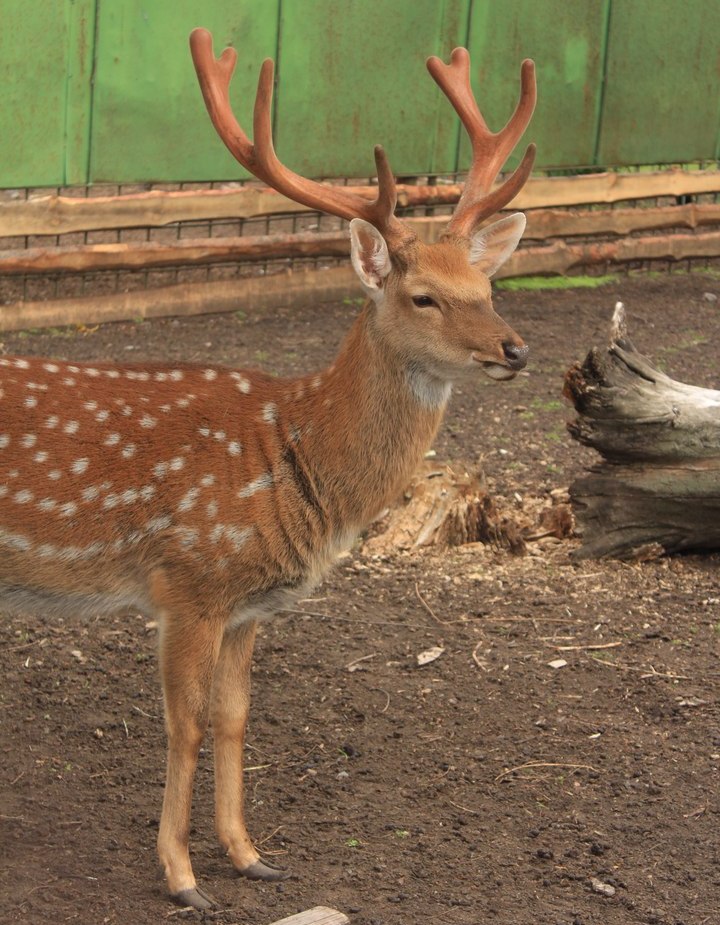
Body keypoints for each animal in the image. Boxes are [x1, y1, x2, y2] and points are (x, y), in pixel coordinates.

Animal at [0, 29, 536, 910]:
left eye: (487, 284)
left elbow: (235, 717)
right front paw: (183, 878)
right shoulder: (187, 579)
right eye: (423, 295)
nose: (516, 348)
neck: (293, 458)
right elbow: (183, 722)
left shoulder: (248, 605)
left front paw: (251, 854)